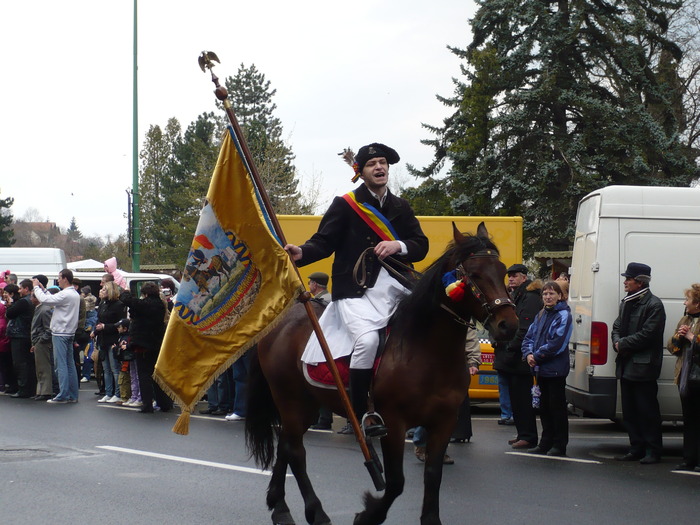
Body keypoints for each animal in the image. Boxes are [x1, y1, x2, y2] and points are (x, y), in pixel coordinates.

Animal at [243, 223, 516, 524]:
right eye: (474, 274)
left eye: (502, 271)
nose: (508, 325)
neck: (425, 349)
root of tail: (281, 321)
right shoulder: (393, 422)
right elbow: (396, 482)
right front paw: (369, 513)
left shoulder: (444, 421)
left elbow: (433, 475)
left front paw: (429, 518)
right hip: (289, 397)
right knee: (295, 451)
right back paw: (316, 511)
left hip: (307, 402)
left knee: (286, 445)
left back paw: (280, 506)